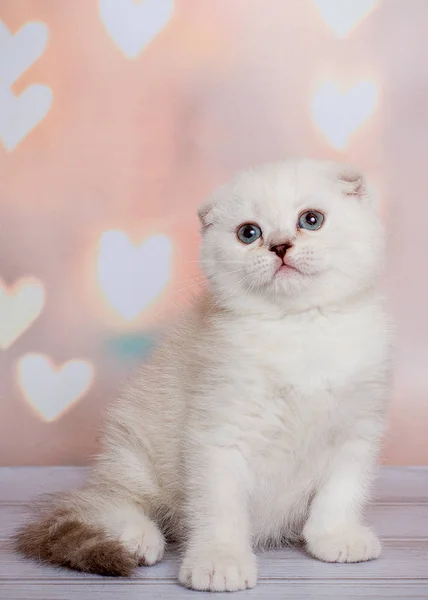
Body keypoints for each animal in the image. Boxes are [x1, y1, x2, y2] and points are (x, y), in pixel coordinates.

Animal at [16, 158, 392, 592]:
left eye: (311, 220)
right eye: (249, 233)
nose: (280, 246)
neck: (297, 327)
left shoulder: (356, 430)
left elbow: (342, 492)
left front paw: (335, 537)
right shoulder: (220, 432)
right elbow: (220, 507)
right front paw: (219, 562)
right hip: (134, 452)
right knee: (111, 501)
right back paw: (135, 538)